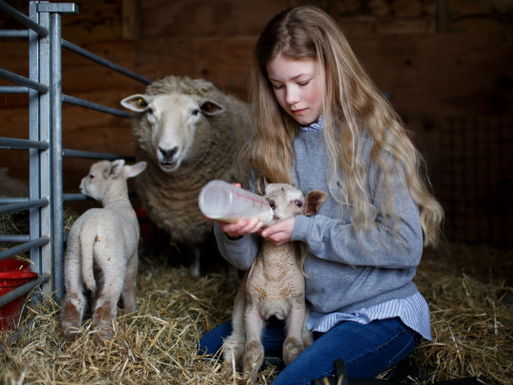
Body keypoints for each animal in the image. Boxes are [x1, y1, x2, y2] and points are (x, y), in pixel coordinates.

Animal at [62, 159, 147, 342]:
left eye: (92, 176)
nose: (80, 186)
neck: (117, 201)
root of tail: (88, 229)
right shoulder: (132, 258)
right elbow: (130, 285)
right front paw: (131, 310)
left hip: (74, 257)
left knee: (73, 298)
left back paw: (71, 335)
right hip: (112, 263)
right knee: (106, 304)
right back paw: (103, 339)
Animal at [118, 76, 250, 276]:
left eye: (195, 112)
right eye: (150, 111)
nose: (168, 151)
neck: (181, 189)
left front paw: (232, 277)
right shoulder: (183, 217)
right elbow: (193, 249)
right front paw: (194, 274)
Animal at [222, 180, 326, 380]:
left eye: (299, 203)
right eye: (264, 194)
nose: (269, 202)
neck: (274, 278)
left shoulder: (297, 304)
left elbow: (292, 345)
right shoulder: (252, 307)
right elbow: (253, 349)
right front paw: (248, 378)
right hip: (238, 313)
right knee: (234, 342)